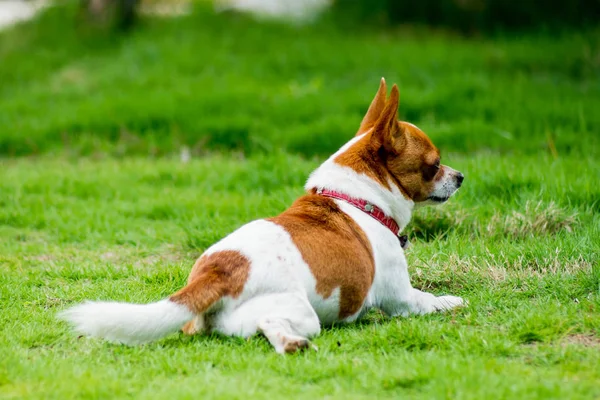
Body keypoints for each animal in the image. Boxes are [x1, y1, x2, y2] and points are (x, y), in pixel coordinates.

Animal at [59, 79, 464, 354]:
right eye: (434, 164)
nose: (461, 177)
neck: (356, 198)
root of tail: (218, 271)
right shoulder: (401, 299)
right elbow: (428, 300)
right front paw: (452, 302)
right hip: (300, 311)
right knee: (273, 322)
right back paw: (292, 343)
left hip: (227, 321)